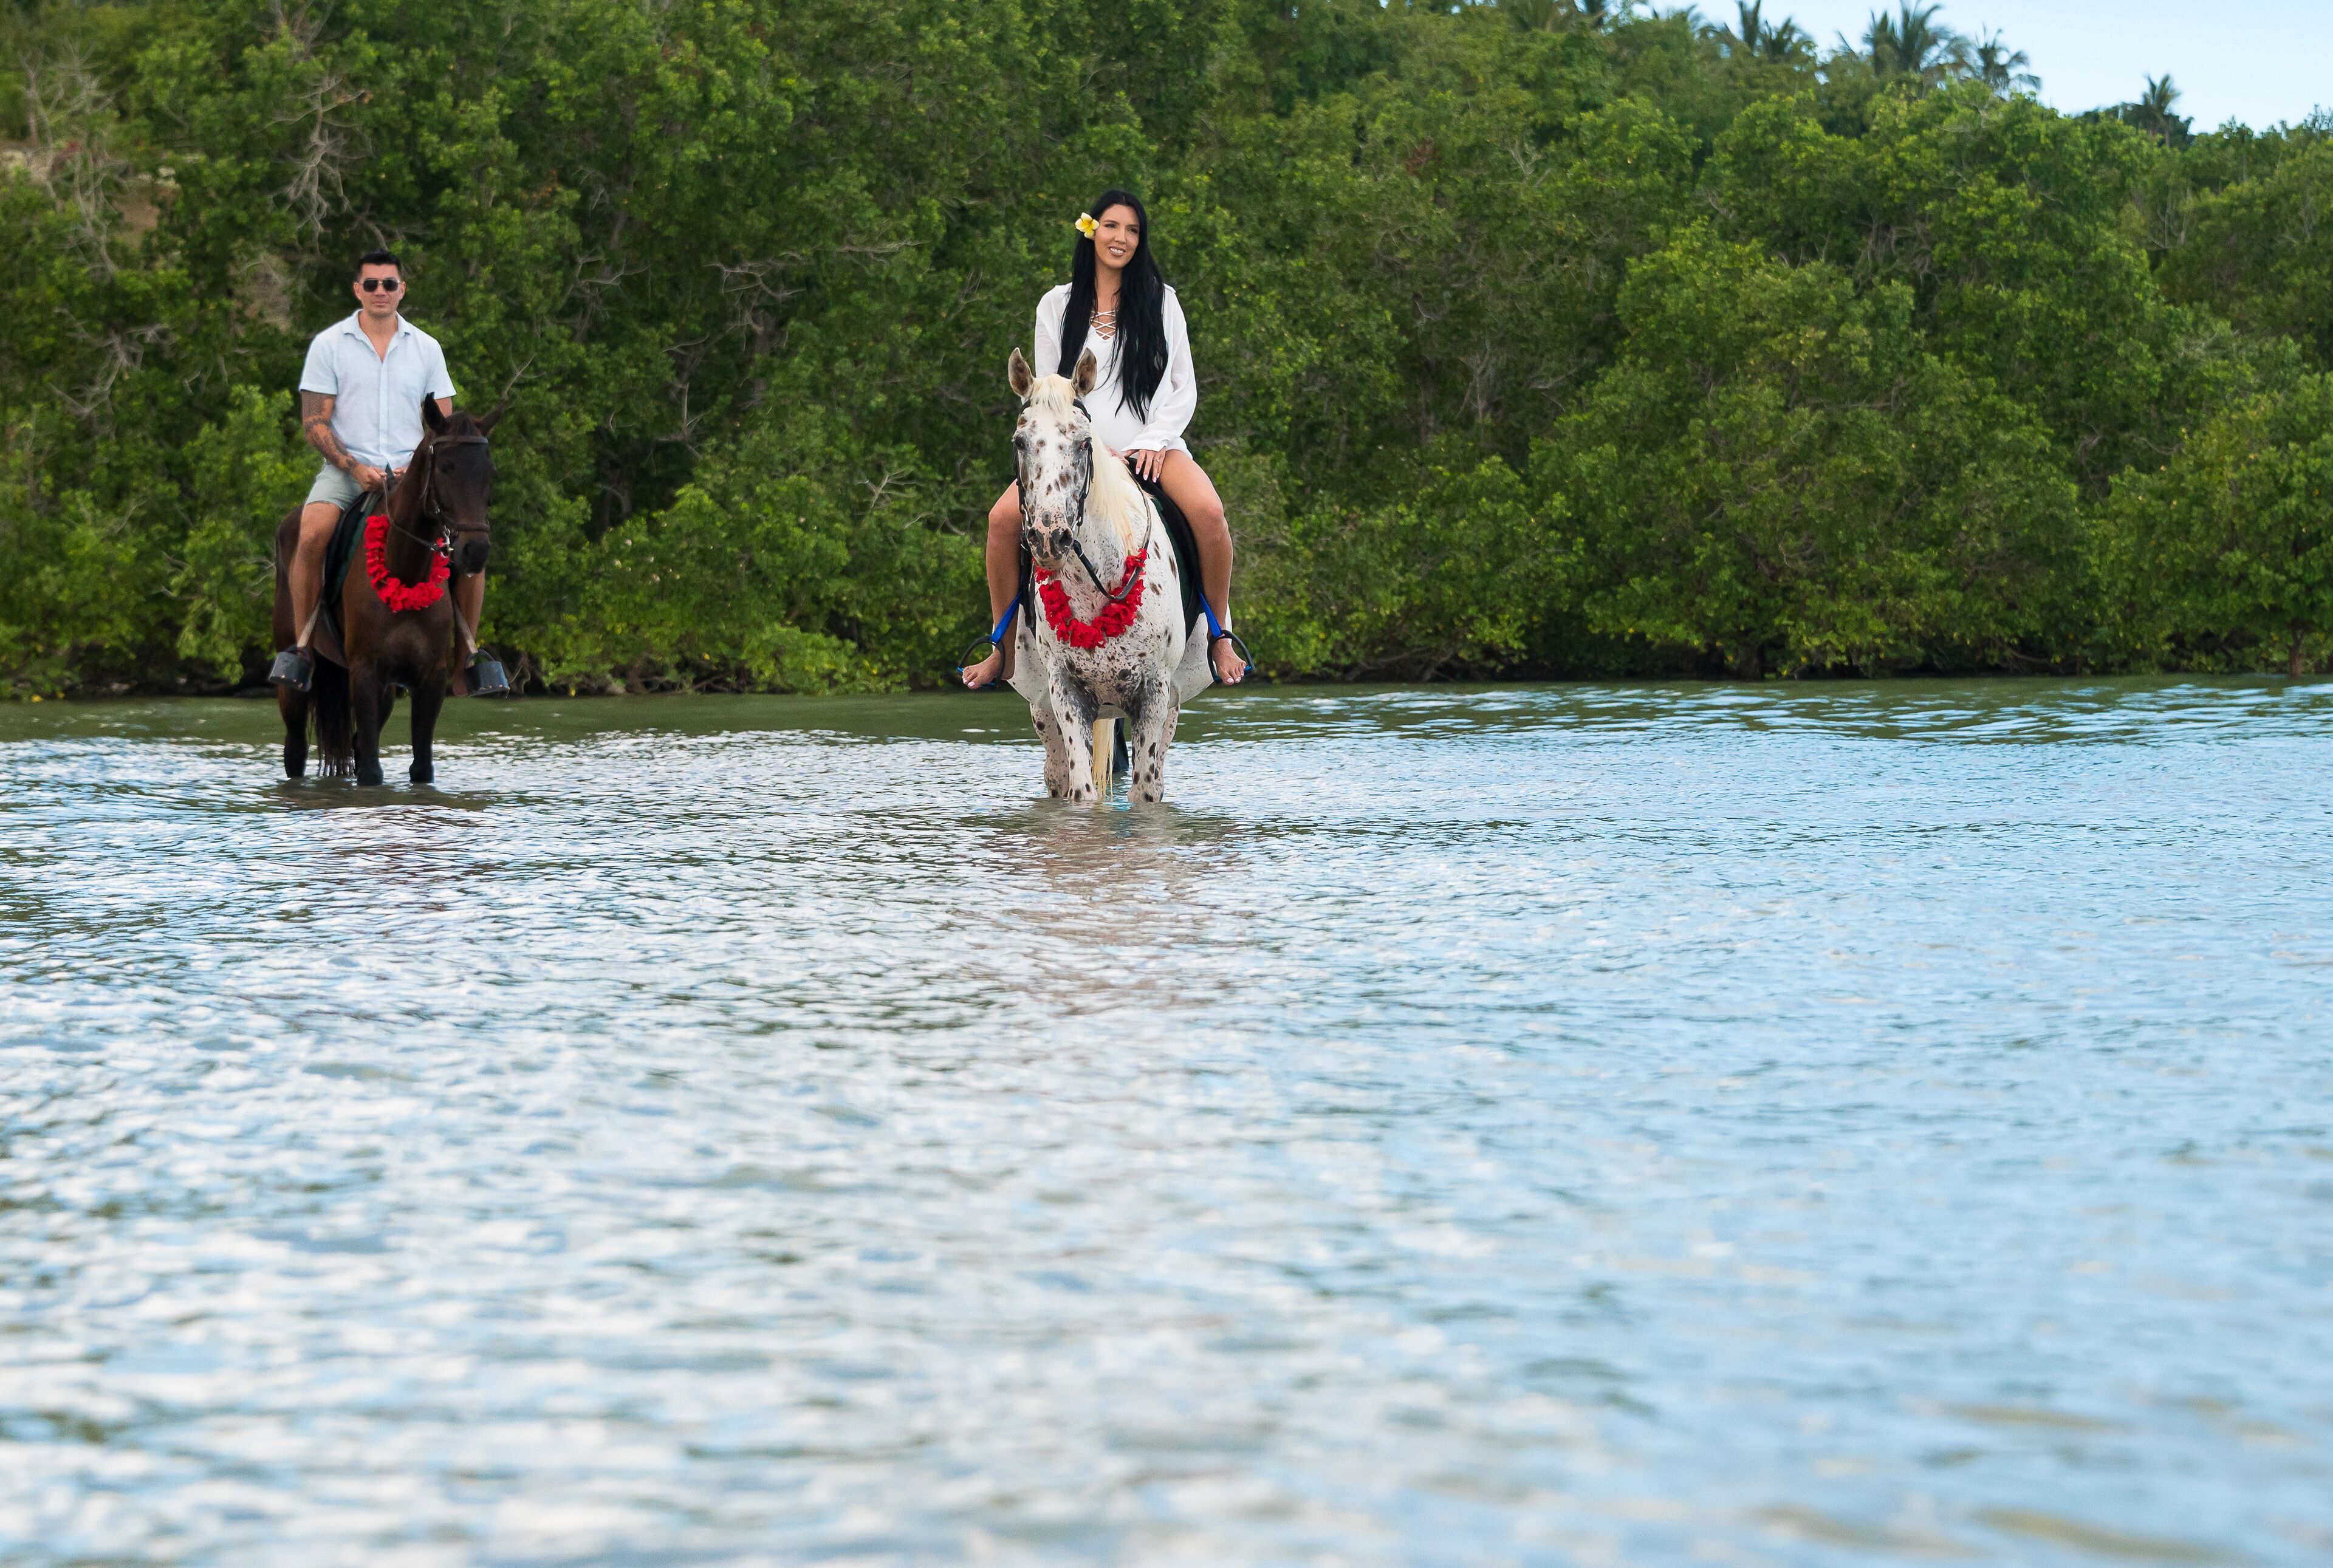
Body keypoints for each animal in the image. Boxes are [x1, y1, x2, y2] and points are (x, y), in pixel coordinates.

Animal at [270, 400, 499, 785]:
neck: (405, 570)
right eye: (447, 468)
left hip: (388, 691)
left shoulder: (429, 680)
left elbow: (420, 767)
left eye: (489, 473)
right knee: (296, 750)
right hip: (294, 685)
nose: (476, 551)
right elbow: (370, 773)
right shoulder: (365, 674)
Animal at [1000, 346, 1208, 804]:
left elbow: (1145, 792)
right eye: (1020, 442)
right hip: (1044, 710)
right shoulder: (1066, 692)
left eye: (1083, 442)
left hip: (1171, 704)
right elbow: (1082, 792)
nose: (1050, 537)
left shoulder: (1154, 692)